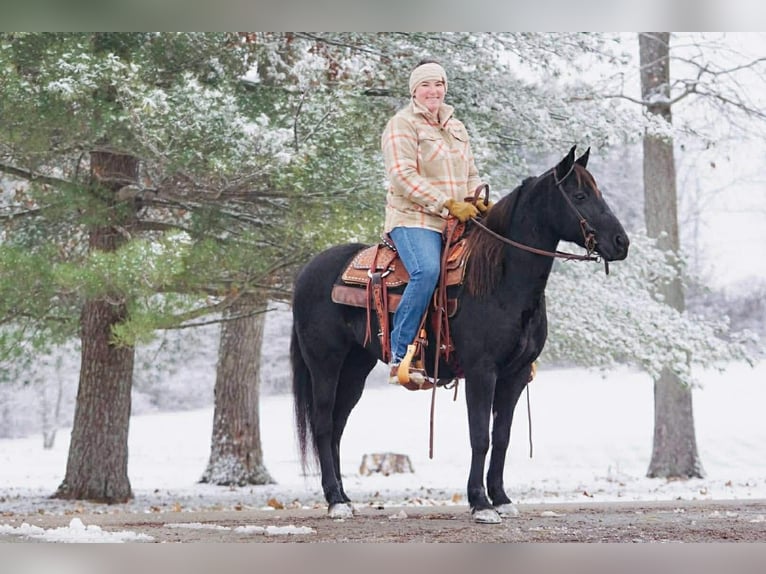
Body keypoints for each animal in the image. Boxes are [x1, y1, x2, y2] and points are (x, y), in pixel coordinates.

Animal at [291, 146, 629, 523]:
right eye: (580, 196)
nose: (621, 242)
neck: (500, 279)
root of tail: (307, 272)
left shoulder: (514, 375)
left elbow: (502, 437)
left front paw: (501, 498)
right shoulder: (482, 372)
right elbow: (480, 436)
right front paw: (480, 502)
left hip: (355, 368)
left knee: (336, 427)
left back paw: (344, 497)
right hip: (325, 363)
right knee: (323, 424)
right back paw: (335, 501)